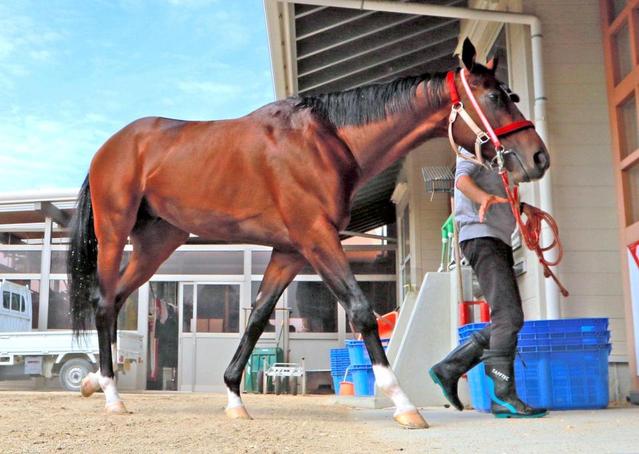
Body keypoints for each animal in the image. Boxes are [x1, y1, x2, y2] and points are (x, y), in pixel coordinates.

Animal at [69, 40, 552, 430]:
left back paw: (96, 382)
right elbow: (360, 311)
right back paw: (111, 395)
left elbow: (257, 318)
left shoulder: (290, 251)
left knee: (116, 300)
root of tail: (109, 147)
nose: (538, 158)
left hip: (158, 242)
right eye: (494, 97)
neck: (326, 142)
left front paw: (234, 398)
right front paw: (402, 403)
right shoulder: (317, 238)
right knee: (103, 301)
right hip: (114, 232)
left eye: (513, 95)